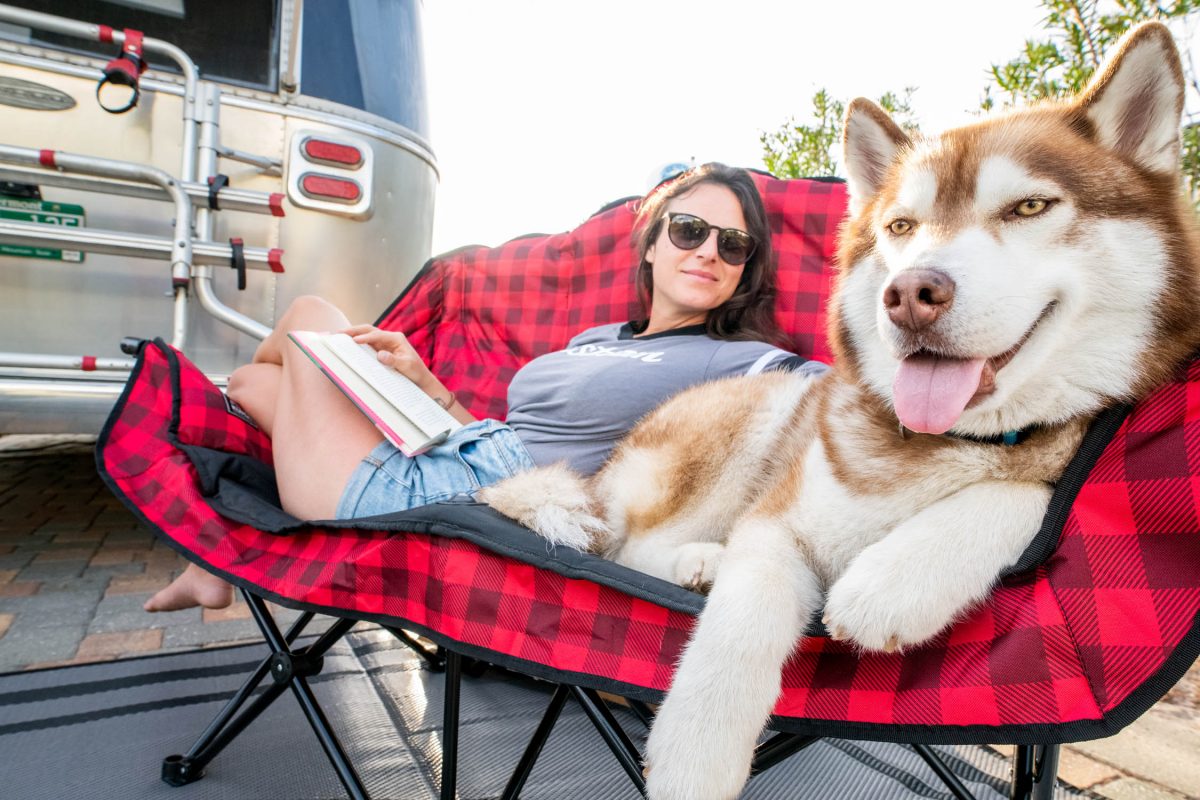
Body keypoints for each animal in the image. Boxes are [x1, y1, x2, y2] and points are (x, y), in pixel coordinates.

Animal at [477, 20, 1200, 800]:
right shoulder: (777, 523)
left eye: (1029, 207)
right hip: (756, 419)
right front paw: (695, 760)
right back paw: (698, 559)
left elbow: (1024, 493)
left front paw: (896, 579)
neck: (933, 443)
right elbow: (742, 621)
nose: (910, 294)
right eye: (902, 226)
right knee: (628, 548)